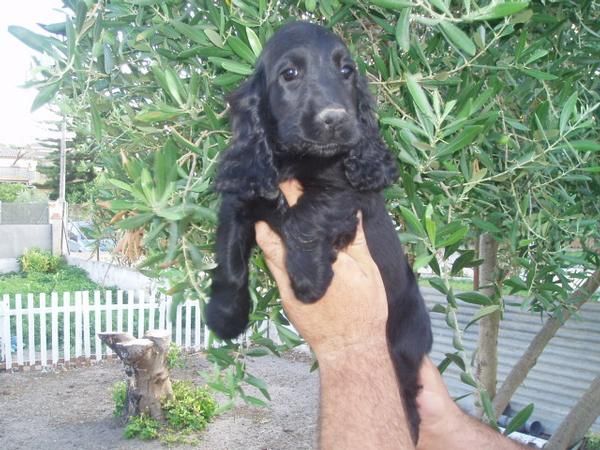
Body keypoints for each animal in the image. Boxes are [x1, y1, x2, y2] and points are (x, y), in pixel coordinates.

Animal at [206, 22, 432, 442]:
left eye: (347, 71)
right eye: (290, 73)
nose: (337, 119)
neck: (295, 159)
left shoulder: (345, 193)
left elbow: (305, 216)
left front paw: (310, 279)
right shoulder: (245, 190)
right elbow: (229, 256)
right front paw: (225, 316)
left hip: (403, 350)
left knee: (408, 396)